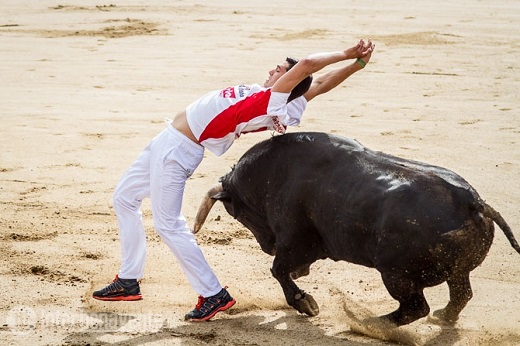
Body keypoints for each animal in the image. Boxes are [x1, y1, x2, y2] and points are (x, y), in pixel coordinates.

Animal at [193, 131, 516, 326]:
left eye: (237, 213)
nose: (266, 246)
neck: (271, 174)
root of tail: (473, 202)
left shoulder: (294, 242)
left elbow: (279, 270)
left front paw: (306, 304)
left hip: (395, 274)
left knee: (415, 307)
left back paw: (371, 323)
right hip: (454, 272)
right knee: (460, 294)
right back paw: (442, 317)